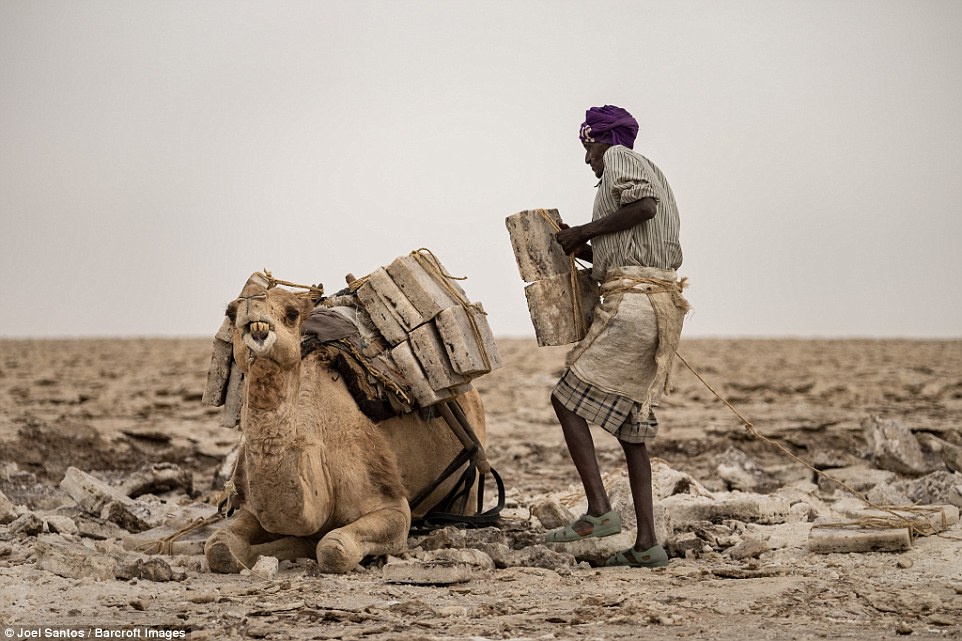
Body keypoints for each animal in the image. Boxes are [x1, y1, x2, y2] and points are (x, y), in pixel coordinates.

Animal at [204, 282, 488, 572]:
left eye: (292, 312)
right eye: (230, 312)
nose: (253, 303)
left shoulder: (392, 505)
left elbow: (333, 548)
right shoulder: (251, 508)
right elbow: (218, 546)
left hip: (470, 479)